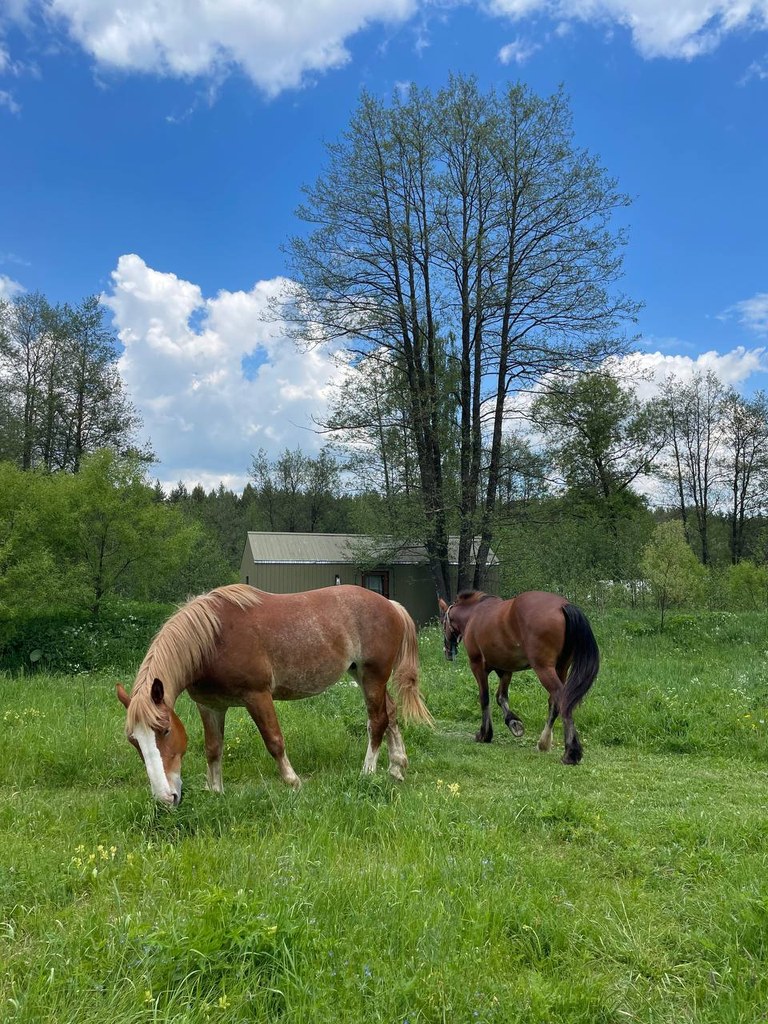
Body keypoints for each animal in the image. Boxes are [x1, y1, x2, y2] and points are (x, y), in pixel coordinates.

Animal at [117, 583, 433, 805]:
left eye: (165, 731)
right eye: (134, 741)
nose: (165, 798)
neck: (212, 640)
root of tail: (390, 604)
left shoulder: (257, 696)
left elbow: (274, 741)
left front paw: (293, 782)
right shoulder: (210, 706)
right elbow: (213, 748)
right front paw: (216, 791)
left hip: (372, 677)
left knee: (377, 720)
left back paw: (367, 773)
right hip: (363, 676)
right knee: (390, 713)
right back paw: (397, 768)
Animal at [438, 590, 599, 764]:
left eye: (443, 623)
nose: (447, 651)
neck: (474, 613)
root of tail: (562, 606)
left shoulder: (477, 666)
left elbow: (485, 698)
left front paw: (485, 734)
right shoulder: (505, 670)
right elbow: (501, 697)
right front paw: (513, 722)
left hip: (544, 669)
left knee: (562, 699)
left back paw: (570, 752)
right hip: (561, 668)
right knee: (555, 703)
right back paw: (544, 742)